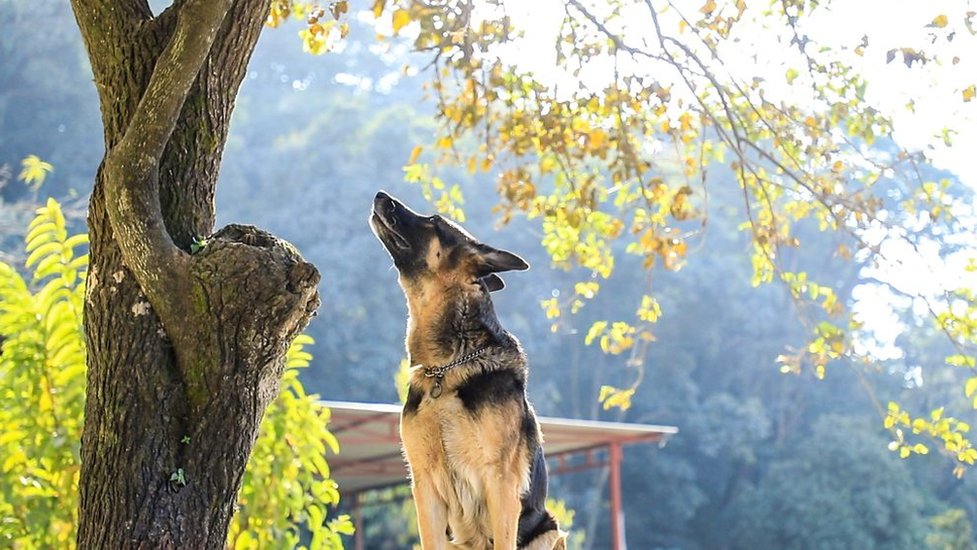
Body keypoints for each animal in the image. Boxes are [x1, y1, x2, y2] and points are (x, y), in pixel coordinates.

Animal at [370, 191, 568, 550]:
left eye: (433, 221)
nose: (380, 195)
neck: (445, 369)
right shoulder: (425, 487)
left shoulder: (500, 483)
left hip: (549, 532)